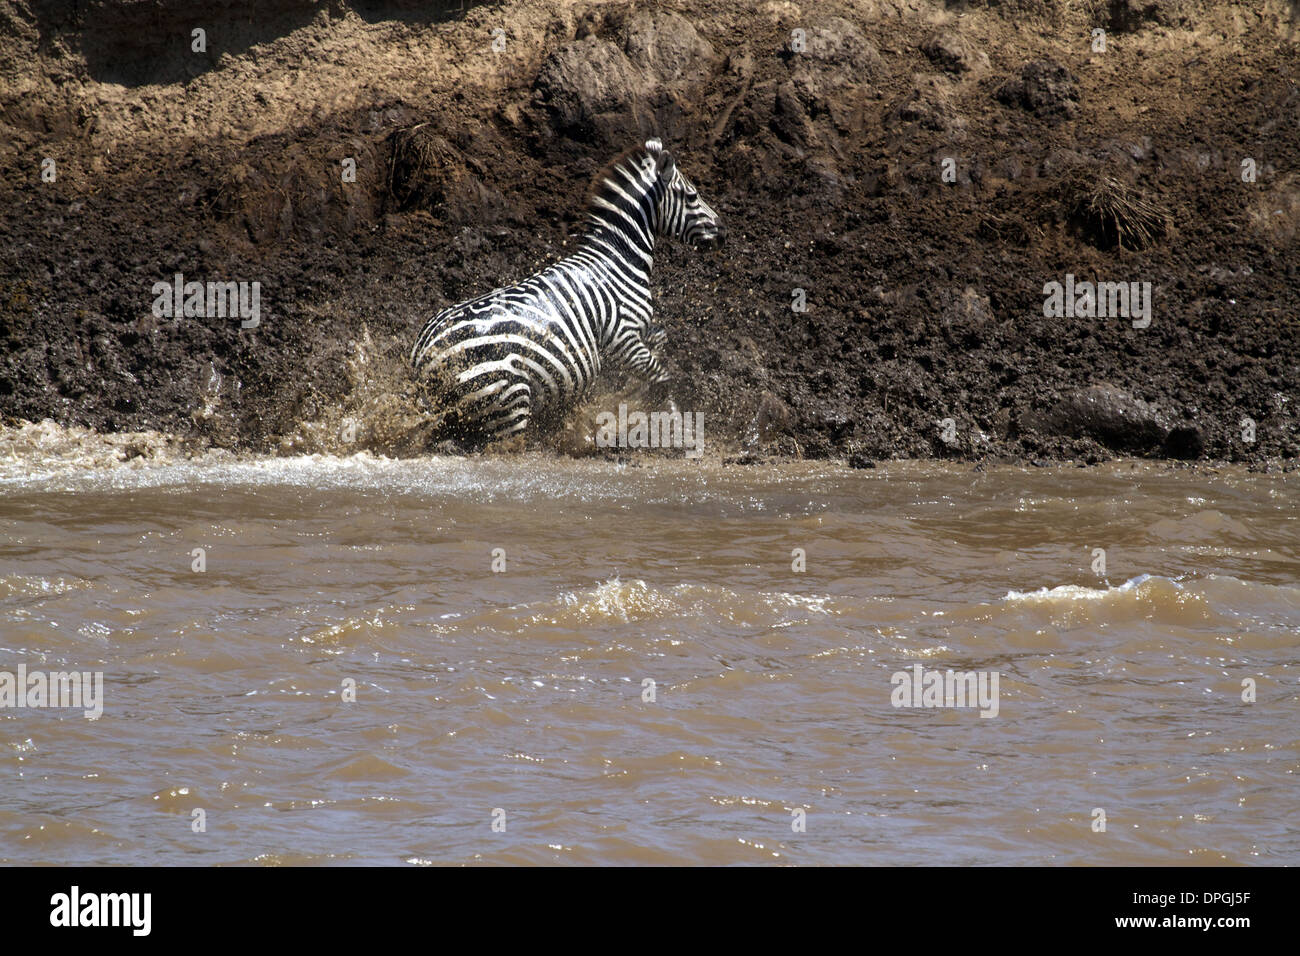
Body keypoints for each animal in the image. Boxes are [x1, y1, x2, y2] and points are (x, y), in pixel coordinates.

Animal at [408, 136, 722, 442]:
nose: (723, 229)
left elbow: (659, 343)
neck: (617, 259)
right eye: (692, 196)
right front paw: (677, 420)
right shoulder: (623, 337)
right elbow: (661, 377)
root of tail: (423, 356)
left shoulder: (636, 333)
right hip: (508, 400)